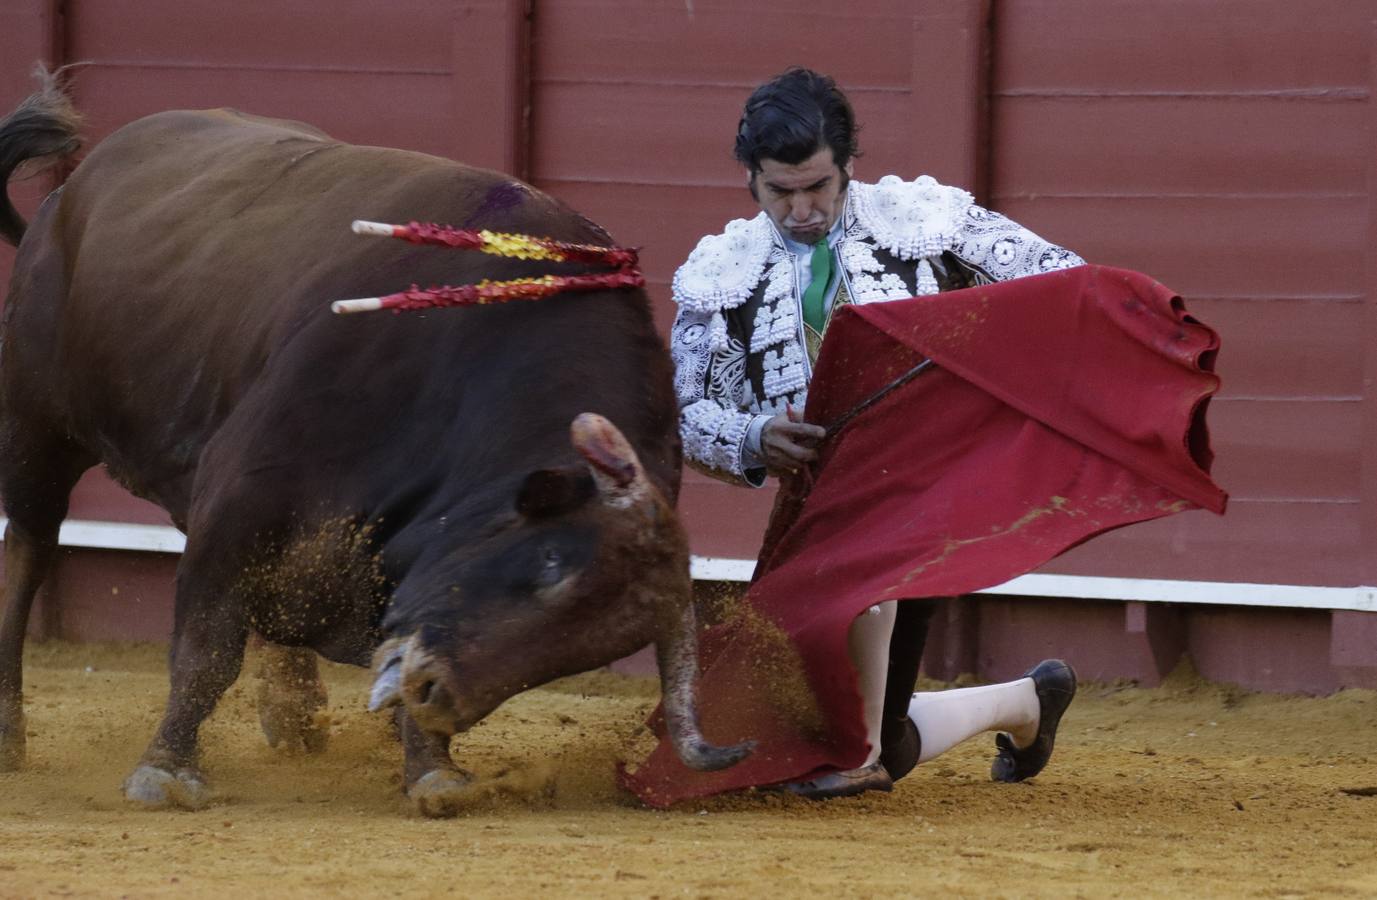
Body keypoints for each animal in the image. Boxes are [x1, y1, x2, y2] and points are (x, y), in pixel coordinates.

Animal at [0, 73, 749, 814]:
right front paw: (165, 772)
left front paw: (433, 770)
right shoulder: (239, 495)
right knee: (28, 550)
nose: (437, 697)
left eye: (584, 654)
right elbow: (206, 651)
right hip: (35, 428)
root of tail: (79, 182)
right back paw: (10, 736)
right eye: (550, 563)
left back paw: (296, 717)